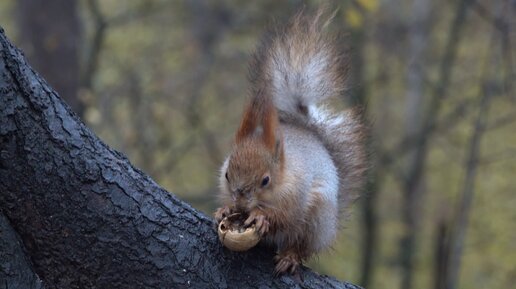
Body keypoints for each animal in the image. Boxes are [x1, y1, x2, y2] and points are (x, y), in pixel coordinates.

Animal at [214, 9, 366, 274]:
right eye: (227, 175)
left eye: (265, 180)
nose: (240, 202)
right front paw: (224, 209)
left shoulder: (296, 194)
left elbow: (284, 218)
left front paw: (261, 217)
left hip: (316, 221)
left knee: (301, 244)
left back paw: (290, 257)